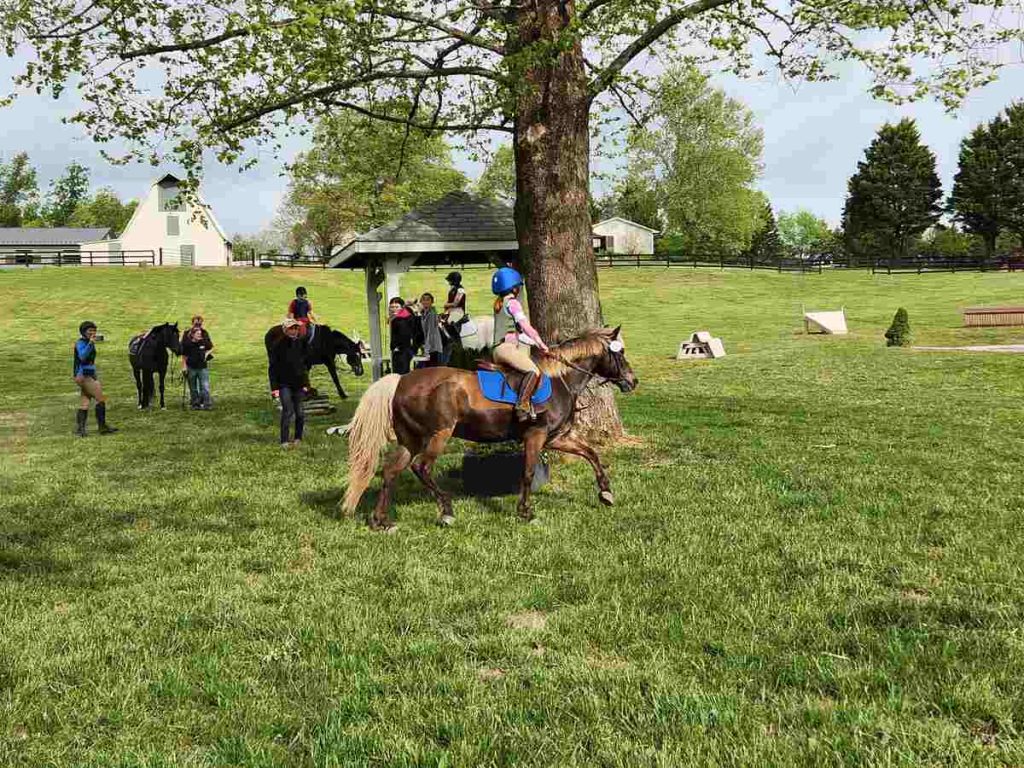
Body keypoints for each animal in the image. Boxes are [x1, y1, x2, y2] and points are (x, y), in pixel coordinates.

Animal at [341, 327, 638, 530]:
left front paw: (606, 493)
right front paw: (525, 511)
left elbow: (591, 454)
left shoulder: (555, 438)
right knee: (421, 467)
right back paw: (446, 510)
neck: (559, 380)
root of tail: (401, 380)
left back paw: (381, 521)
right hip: (439, 435)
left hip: (410, 439)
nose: (633, 381)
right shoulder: (536, 436)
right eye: (620, 353)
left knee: (391, 471)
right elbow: (528, 473)